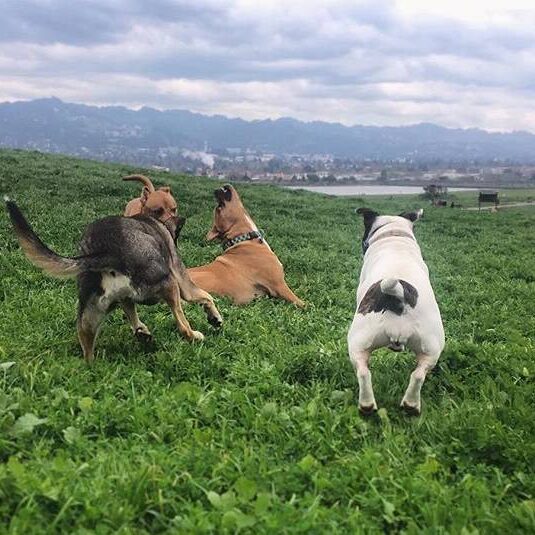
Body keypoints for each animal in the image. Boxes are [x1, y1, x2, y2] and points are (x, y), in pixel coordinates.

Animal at [4, 201, 222, 364]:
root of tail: (107, 249)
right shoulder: (183, 283)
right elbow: (206, 296)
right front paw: (215, 318)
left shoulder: (125, 298)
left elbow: (131, 313)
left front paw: (141, 331)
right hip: (169, 283)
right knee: (182, 324)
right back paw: (194, 335)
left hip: (90, 314)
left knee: (86, 345)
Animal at [348, 207, 444, 416]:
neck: (394, 235)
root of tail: (398, 295)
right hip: (431, 347)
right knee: (418, 374)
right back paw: (410, 404)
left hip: (357, 340)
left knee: (363, 372)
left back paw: (366, 405)